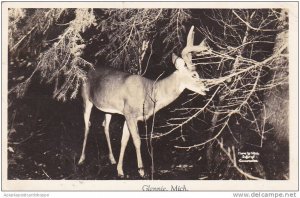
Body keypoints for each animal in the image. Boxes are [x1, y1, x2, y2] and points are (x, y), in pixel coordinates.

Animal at [77, 25, 209, 177]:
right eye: (194, 75)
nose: (206, 88)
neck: (151, 92)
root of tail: (87, 72)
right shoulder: (129, 113)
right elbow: (137, 140)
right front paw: (141, 170)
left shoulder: (128, 115)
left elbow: (124, 140)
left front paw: (120, 170)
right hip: (86, 99)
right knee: (87, 125)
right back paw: (81, 159)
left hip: (108, 109)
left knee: (105, 125)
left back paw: (112, 159)